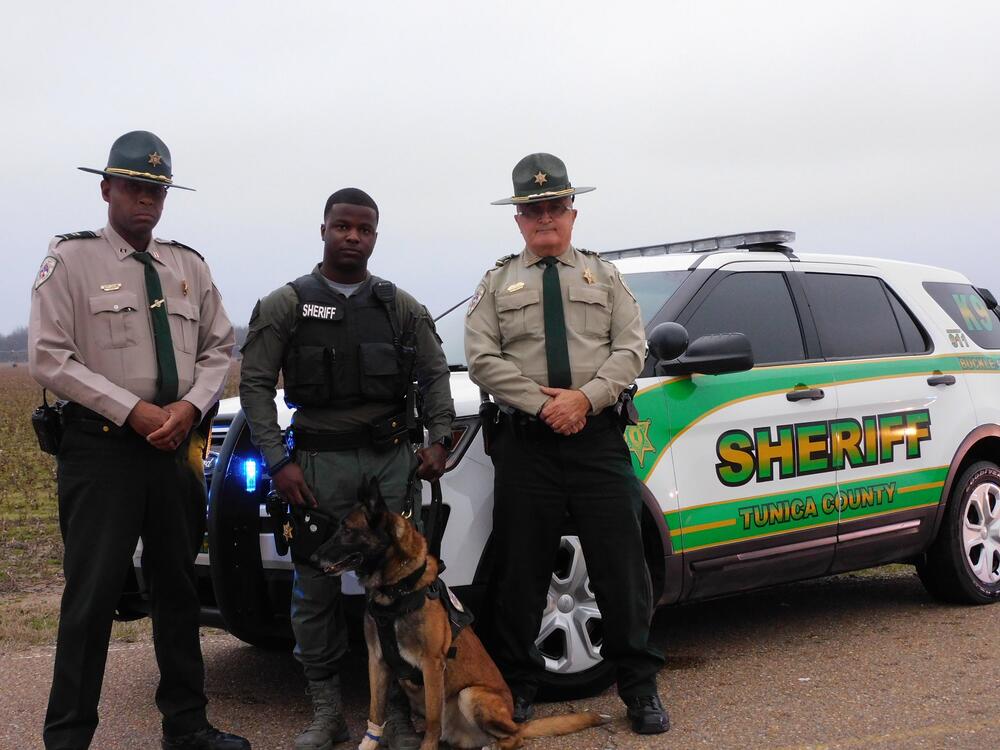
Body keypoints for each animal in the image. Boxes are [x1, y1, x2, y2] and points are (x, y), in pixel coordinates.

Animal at [312, 478, 608, 748]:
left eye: (347, 530)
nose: (313, 558)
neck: (398, 589)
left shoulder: (432, 664)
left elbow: (433, 723)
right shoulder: (377, 661)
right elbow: (376, 712)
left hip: (471, 695)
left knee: (513, 737)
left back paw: (492, 744)